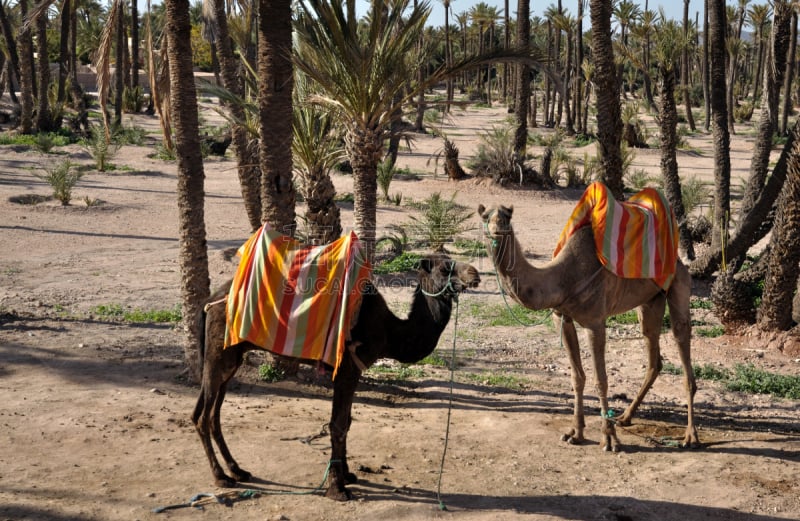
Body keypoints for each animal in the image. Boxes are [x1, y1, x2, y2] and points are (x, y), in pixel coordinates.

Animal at [194, 252, 482, 500]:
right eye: (444, 268)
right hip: (219, 354)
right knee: (203, 416)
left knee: (212, 414)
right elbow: (338, 424)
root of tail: (210, 301)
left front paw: (348, 475)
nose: (475, 273)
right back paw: (221, 477)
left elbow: (346, 422)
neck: (389, 331)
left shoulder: (352, 371)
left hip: (231, 358)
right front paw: (337, 488)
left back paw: (237, 470)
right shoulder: (346, 369)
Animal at [478, 203, 696, 450]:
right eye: (485, 216)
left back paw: (690, 436)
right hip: (651, 300)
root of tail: (679, 261)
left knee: (682, 341)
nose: (497, 229)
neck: (564, 279)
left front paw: (609, 438)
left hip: (679, 284)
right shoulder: (562, 318)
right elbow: (577, 377)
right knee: (653, 355)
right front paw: (575, 432)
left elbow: (601, 380)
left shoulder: (595, 322)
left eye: (507, 216)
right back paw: (625, 416)